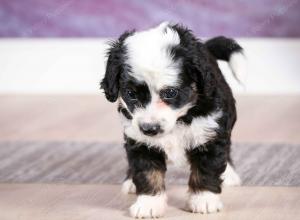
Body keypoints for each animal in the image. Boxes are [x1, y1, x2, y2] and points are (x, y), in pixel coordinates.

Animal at [99, 22, 243, 218]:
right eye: (130, 94)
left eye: (170, 93)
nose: (150, 128)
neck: (181, 119)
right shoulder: (140, 141)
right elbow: (147, 172)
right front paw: (149, 203)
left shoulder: (210, 131)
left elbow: (207, 168)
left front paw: (204, 200)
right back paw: (130, 182)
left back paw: (229, 174)